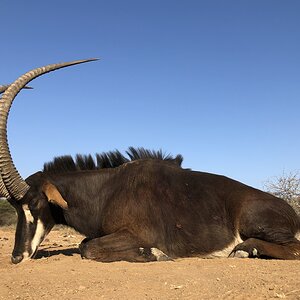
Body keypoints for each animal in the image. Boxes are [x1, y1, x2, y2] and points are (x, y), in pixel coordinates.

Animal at [0, 59, 298, 262]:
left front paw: (154, 253)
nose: (16, 257)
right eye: (14, 207)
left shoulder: (138, 233)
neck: (106, 191)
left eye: (34, 204)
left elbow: (88, 247)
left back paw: (244, 250)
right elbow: (85, 243)